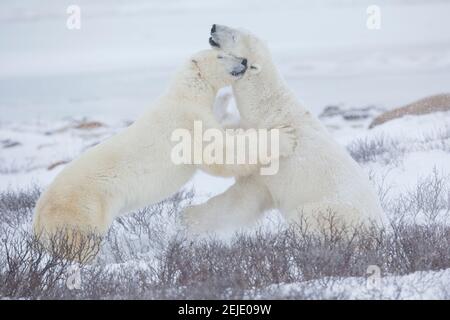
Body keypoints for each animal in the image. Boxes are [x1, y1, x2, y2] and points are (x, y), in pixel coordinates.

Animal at [34, 49, 296, 255]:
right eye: (221, 55)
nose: (243, 60)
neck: (186, 94)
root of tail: (38, 219)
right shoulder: (187, 123)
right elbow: (217, 153)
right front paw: (285, 137)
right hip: (82, 210)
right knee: (78, 244)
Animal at [185, 25, 388, 232]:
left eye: (234, 36)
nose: (214, 26)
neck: (268, 111)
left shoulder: (269, 165)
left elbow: (241, 200)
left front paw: (188, 218)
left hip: (327, 212)